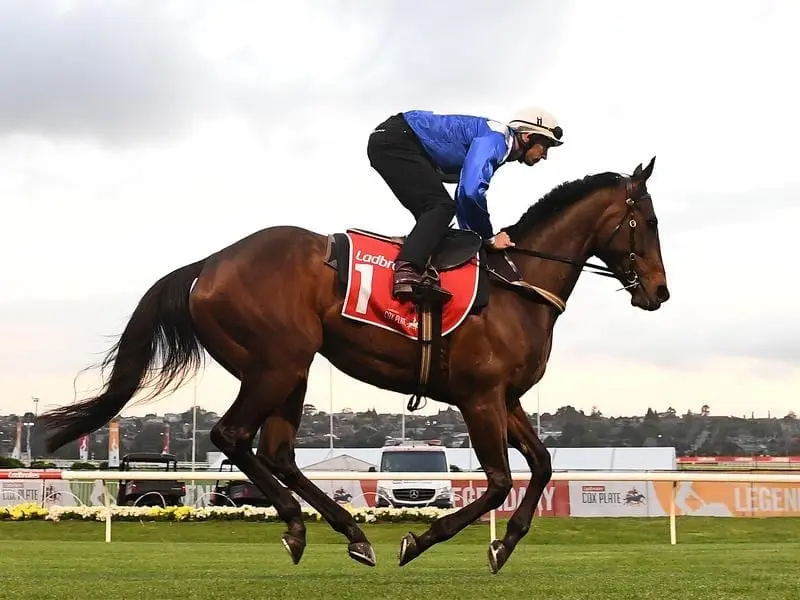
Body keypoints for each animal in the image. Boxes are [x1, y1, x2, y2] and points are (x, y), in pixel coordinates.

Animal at [42, 155, 668, 572]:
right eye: (651, 221)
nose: (659, 292)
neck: (518, 283)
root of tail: (210, 263)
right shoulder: (480, 397)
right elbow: (496, 482)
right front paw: (419, 540)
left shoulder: (505, 399)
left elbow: (540, 467)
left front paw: (504, 543)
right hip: (277, 363)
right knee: (232, 435)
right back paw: (316, 526)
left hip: (290, 371)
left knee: (276, 450)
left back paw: (332, 530)